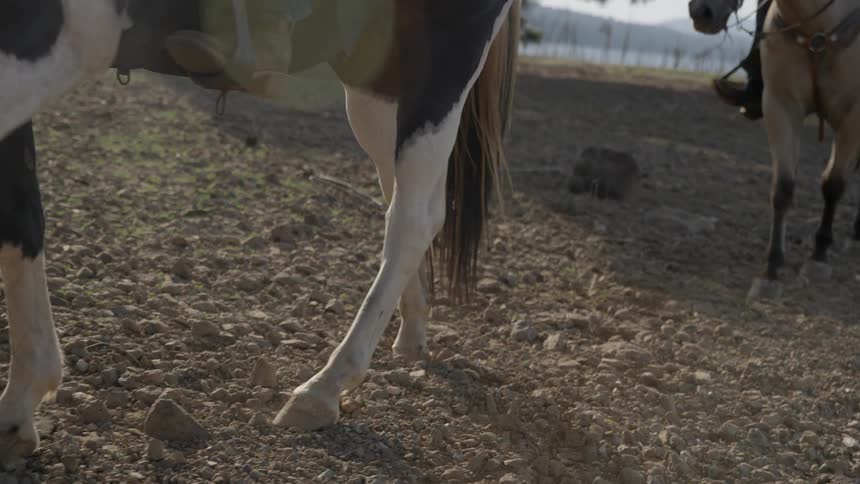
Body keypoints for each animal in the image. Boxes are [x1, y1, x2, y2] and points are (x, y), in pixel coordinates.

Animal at [0, 0, 521, 463]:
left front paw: (23, 397)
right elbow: (21, 215)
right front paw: (19, 406)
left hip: (443, 55)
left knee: (414, 218)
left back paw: (323, 389)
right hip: (380, 77)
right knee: (403, 195)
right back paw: (411, 332)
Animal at [689, 0, 860, 301]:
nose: (701, 12)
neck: (816, 27)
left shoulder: (853, 117)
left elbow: (833, 185)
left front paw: (819, 256)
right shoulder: (780, 106)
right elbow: (782, 189)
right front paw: (770, 271)